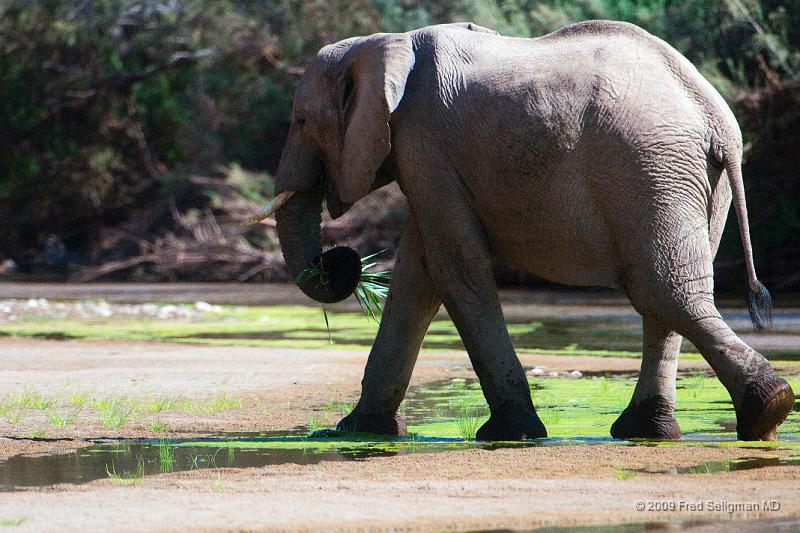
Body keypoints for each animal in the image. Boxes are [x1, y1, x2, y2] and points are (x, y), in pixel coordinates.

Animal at [262, 19, 792, 440]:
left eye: (300, 120)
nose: (342, 258)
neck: (386, 45)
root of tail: (716, 118)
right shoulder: (429, 159)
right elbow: (418, 275)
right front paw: (356, 432)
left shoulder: (423, 141)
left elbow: (455, 266)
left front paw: (509, 433)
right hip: (687, 180)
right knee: (670, 294)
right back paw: (661, 430)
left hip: (648, 166)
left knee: (662, 291)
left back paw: (764, 410)